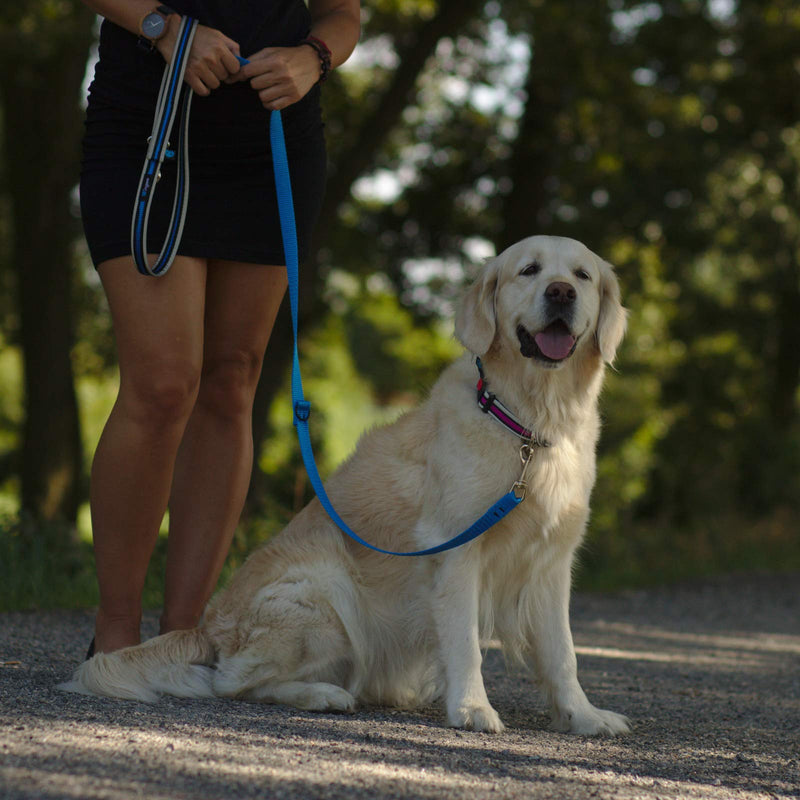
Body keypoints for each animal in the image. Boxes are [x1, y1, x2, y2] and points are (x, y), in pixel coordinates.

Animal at [59, 234, 632, 736]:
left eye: (581, 275)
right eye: (528, 270)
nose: (561, 293)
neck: (528, 424)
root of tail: (207, 626)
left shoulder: (553, 561)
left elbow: (563, 654)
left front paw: (583, 716)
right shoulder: (454, 550)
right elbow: (466, 643)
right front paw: (473, 709)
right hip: (324, 587)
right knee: (234, 682)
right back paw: (323, 695)